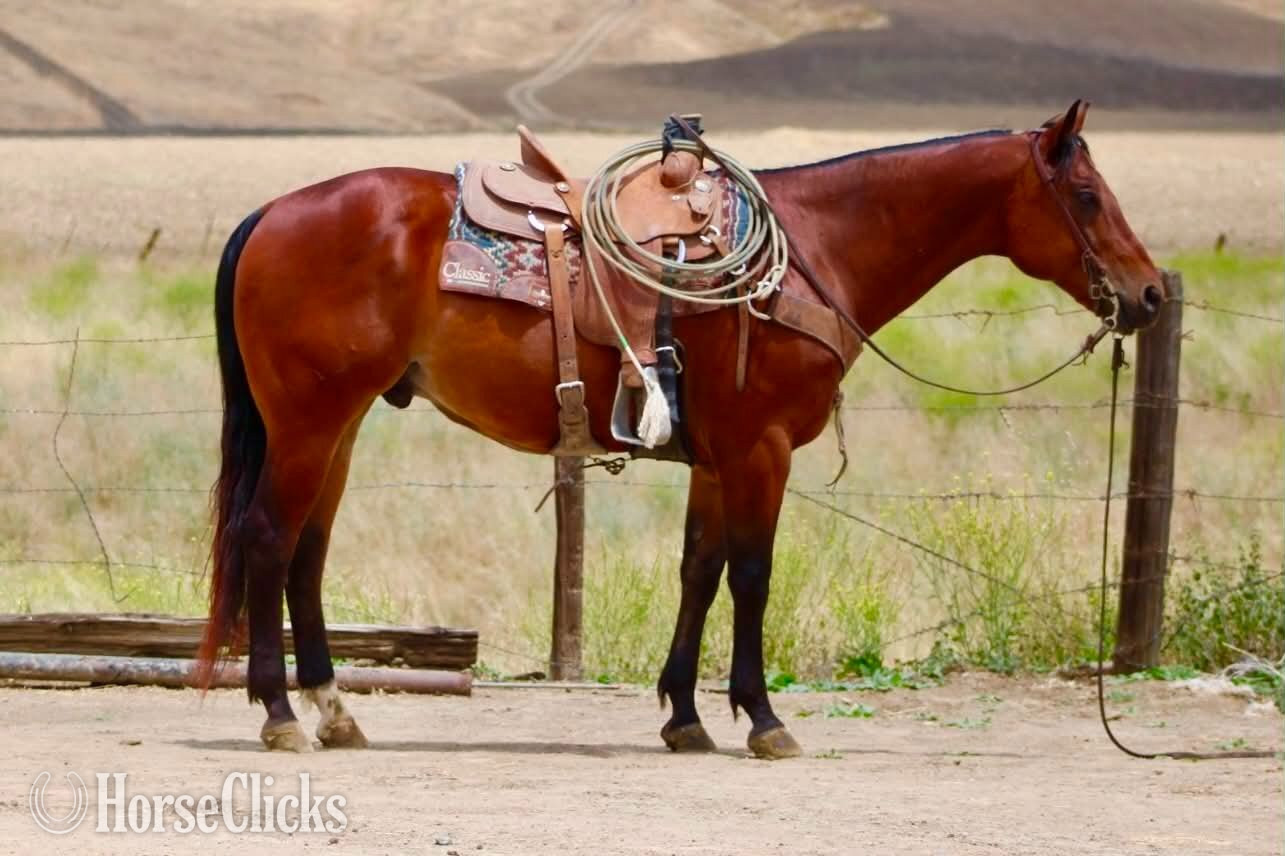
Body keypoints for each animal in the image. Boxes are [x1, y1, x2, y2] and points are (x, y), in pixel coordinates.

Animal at [194, 100, 1162, 758]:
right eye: (1085, 193)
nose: (1149, 293)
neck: (814, 250)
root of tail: (272, 213)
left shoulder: (713, 459)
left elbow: (698, 571)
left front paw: (686, 717)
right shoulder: (760, 451)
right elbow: (753, 578)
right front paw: (763, 718)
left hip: (340, 423)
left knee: (308, 553)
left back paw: (333, 711)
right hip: (309, 420)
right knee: (269, 539)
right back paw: (279, 714)